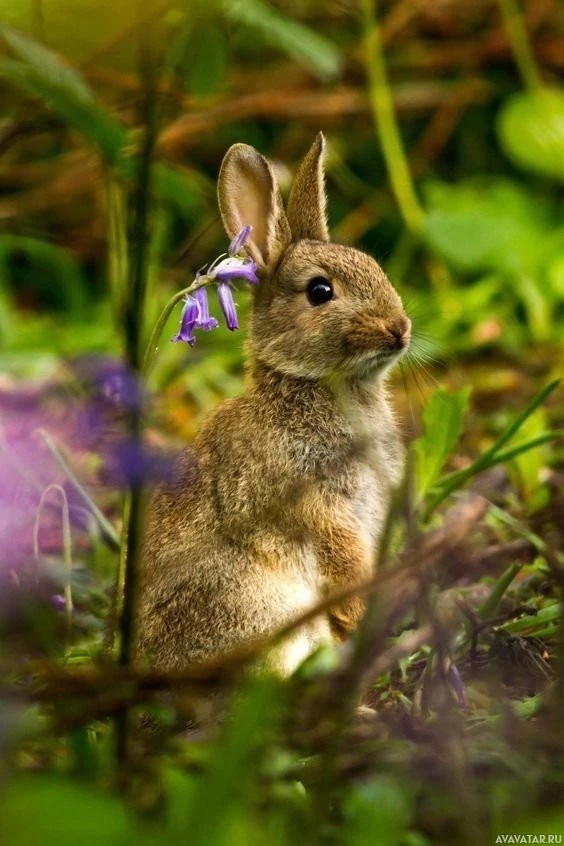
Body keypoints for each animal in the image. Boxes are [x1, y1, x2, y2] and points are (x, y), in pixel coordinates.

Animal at [137, 136, 410, 680]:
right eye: (320, 291)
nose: (399, 328)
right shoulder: (314, 503)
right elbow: (343, 559)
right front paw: (362, 613)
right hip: (262, 610)